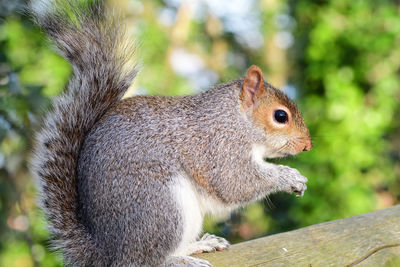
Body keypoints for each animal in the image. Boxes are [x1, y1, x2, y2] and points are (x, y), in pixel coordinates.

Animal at [31, 1, 312, 266]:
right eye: (280, 116)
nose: (307, 145)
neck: (236, 118)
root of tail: (107, 250)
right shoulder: (221, 145)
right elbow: (234, 182)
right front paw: (288, 177)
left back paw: (198, 246)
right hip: (162, 207)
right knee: (143, 260)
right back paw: (179, 261)